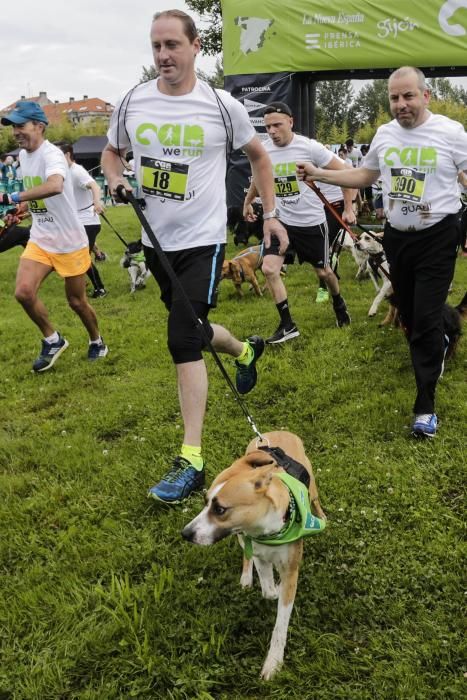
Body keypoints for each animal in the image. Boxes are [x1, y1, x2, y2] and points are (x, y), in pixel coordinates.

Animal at [181, 430, 328, 680]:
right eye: (205, 502)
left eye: (220, 509)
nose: (186, 533)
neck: (267, 530)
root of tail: (278, 431)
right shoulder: (258, 552)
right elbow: (268, 589)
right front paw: (273, 586)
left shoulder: (291, 569)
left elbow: (280, 622)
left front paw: (273, 662)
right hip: (241, 536)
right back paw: (246, 577)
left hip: (313, 489)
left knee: (316, 503)